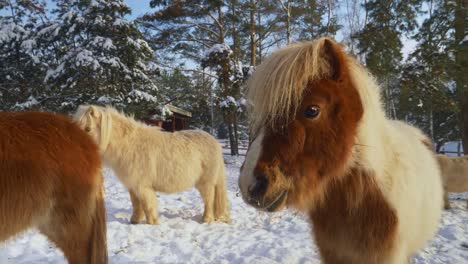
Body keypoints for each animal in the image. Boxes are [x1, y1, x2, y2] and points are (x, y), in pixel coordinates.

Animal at [72, 105, 230, 225]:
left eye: (87, 128)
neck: (129, 145)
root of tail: (215, 142)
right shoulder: (132, 186)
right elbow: (136, 204)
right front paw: (134, 221)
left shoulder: (143, 186)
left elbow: (148, 206)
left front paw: (152, 223)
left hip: (206, 183)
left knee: (209, 200)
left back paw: (206, 219)